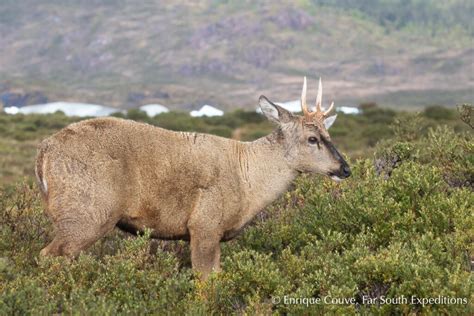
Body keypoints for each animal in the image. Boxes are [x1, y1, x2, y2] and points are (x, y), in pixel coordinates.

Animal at [35, 77, 350, 278]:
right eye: (312, 139)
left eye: (329, 134)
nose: (345, 169)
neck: (248, 180)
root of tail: (44, 153)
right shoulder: (204, 225)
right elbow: (206, 283)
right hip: (87, 212)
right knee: (50, 256)